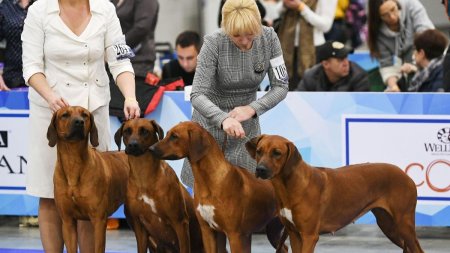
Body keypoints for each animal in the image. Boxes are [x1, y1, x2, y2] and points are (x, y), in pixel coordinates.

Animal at [47, 106, 128, 253]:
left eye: (85, 115)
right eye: (65, 115)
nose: (79, 122)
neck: (73, 161)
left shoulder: (99, 220)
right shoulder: (67, 221)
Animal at [114, 119, 204, 253]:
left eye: (144, 131)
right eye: (127, 131)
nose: (133, 145)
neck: (144, 176)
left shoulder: (180, 221)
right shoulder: (139, 227)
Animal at [149, 121, 286, 252]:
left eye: (174, 136)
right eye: (167, 134)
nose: (150, 149)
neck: (208, 181)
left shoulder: (234, 235)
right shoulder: (207, 231)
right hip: (273, 230)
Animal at [246, 135, 426, 252]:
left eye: (277, 153)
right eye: (259, 151)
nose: (260, 170)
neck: (289, 186)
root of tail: (405, 174)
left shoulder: (309, 236)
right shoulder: (294, 234)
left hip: (403, 224)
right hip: (388, 225)